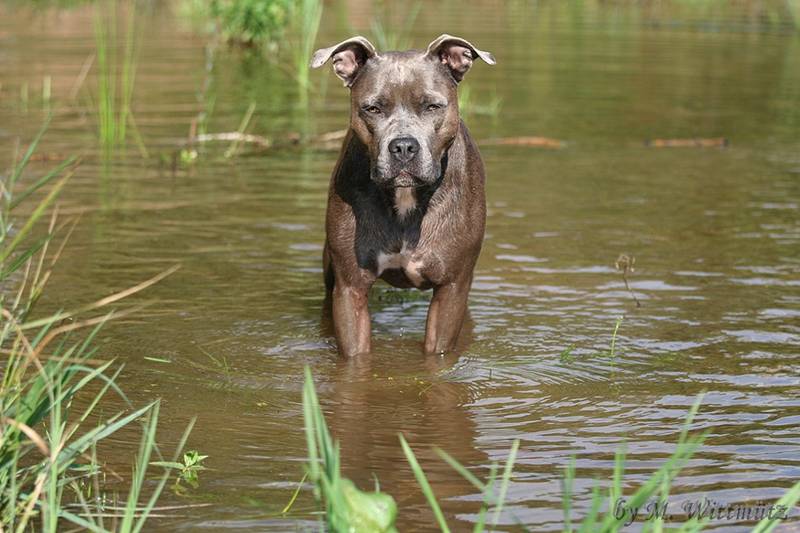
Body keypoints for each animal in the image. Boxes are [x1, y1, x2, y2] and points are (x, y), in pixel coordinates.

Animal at [310, 35, 494, 356]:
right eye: (372, 108)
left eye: (432, 106)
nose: (404, 146)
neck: (406, 198)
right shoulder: (350, 287)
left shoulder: (452, 288)